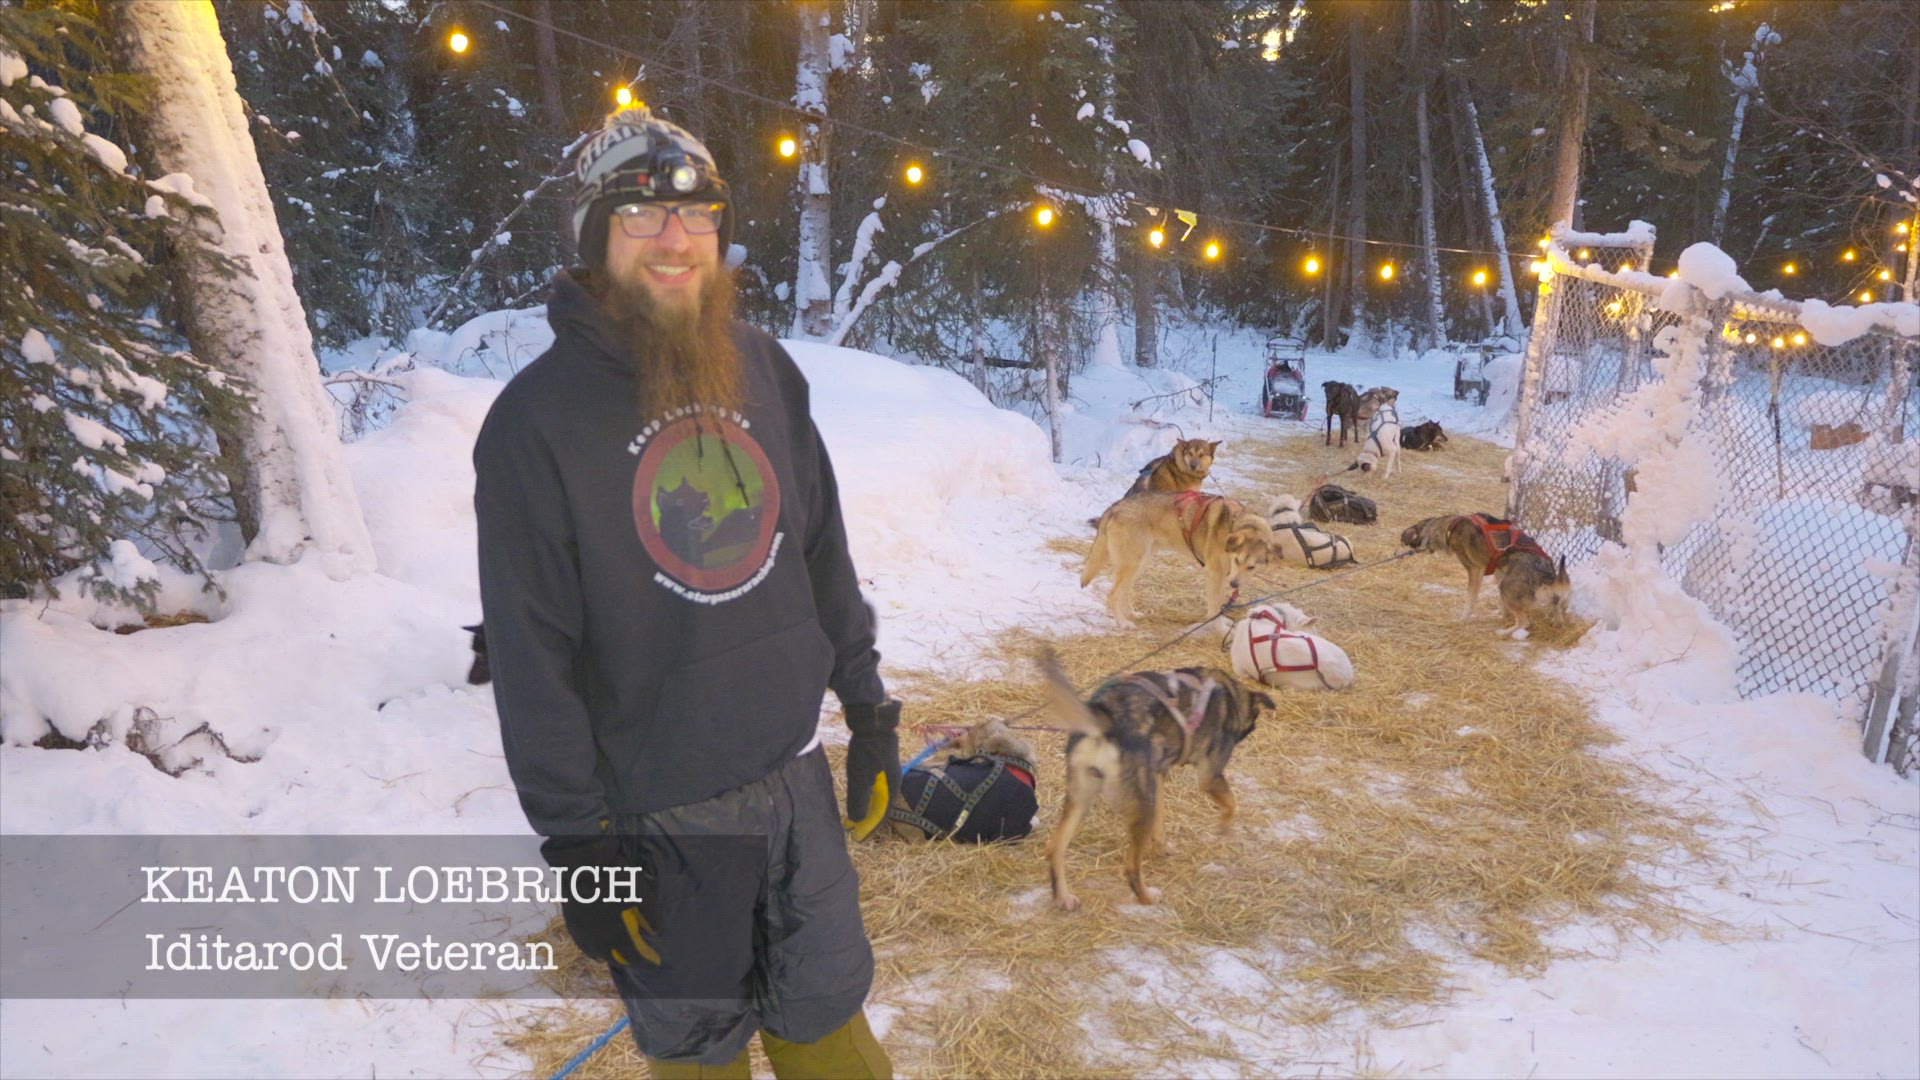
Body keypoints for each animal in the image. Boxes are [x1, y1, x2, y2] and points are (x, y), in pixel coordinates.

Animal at [1037, 650, 1272, 910]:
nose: (1247, 732)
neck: (1229, 695)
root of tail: (1105, 719)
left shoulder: (1157, 776)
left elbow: (1161, 820)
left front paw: (1162, 847)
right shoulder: (1209, 776)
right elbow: (1232, 804)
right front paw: (1224, 828)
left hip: (1084, 798)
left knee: (1055, 848)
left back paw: (1063, 897)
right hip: (1139, 806)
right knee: (1131, 867)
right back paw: (1147, 898)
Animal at [1082, 491, 1274, 631]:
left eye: (1251, 567)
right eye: (1237, 561)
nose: (1235, 585)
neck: (1232, 524)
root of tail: (1114, 507)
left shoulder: (1224, 577)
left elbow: (1220, 604)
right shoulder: (1215, 574)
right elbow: (1215, 606)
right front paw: (1220, 629)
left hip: (1138, 564)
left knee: (1124, 592)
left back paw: (1131, 614)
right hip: (1132, 564)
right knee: (1113, 595)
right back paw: (1123, 623)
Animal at [1400, 513, 1572, 637]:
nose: (1405, 553)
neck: (1450, 528)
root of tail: (1545, 571)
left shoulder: (1475, 570)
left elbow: (1470, 600)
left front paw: (1462, 619)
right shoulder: (1499, 571)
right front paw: (1502, 613)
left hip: (1506, 587)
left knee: (1524, 621)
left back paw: (1503, 632)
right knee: (1556, 604)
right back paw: (1557, 620)